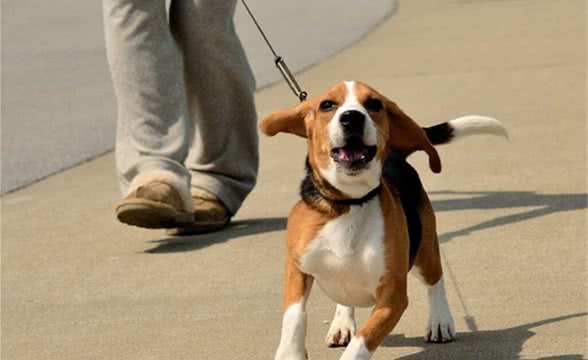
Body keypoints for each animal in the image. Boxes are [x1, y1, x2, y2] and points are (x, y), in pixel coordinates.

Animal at [260, 80, 508, 358]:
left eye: (374, 104)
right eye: (327, 105)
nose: (352, 117)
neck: (349, 204)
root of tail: (395, 155)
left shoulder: (393, 296)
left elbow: (363, 340)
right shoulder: (296, 269)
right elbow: (295, 316)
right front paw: (289, 352)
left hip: (424, 250)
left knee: (436, 280)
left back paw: (440, 320)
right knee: (345, 300)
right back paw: (342, 322)